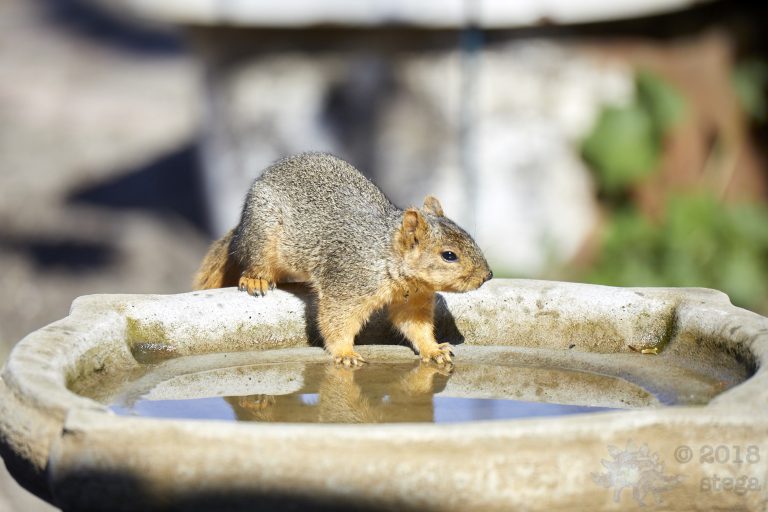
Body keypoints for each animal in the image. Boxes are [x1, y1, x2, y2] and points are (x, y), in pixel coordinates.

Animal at [193, 152, 493, 367]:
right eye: (449, 255)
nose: (487, 275)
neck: (384, 255)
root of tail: (242, 227)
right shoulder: (347, 285)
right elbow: (336, 320)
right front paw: (346, 353)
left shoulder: (413, 300)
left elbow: (416, 327)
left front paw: (434, 350)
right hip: (262, 233)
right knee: (254, 260)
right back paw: (256, 279)